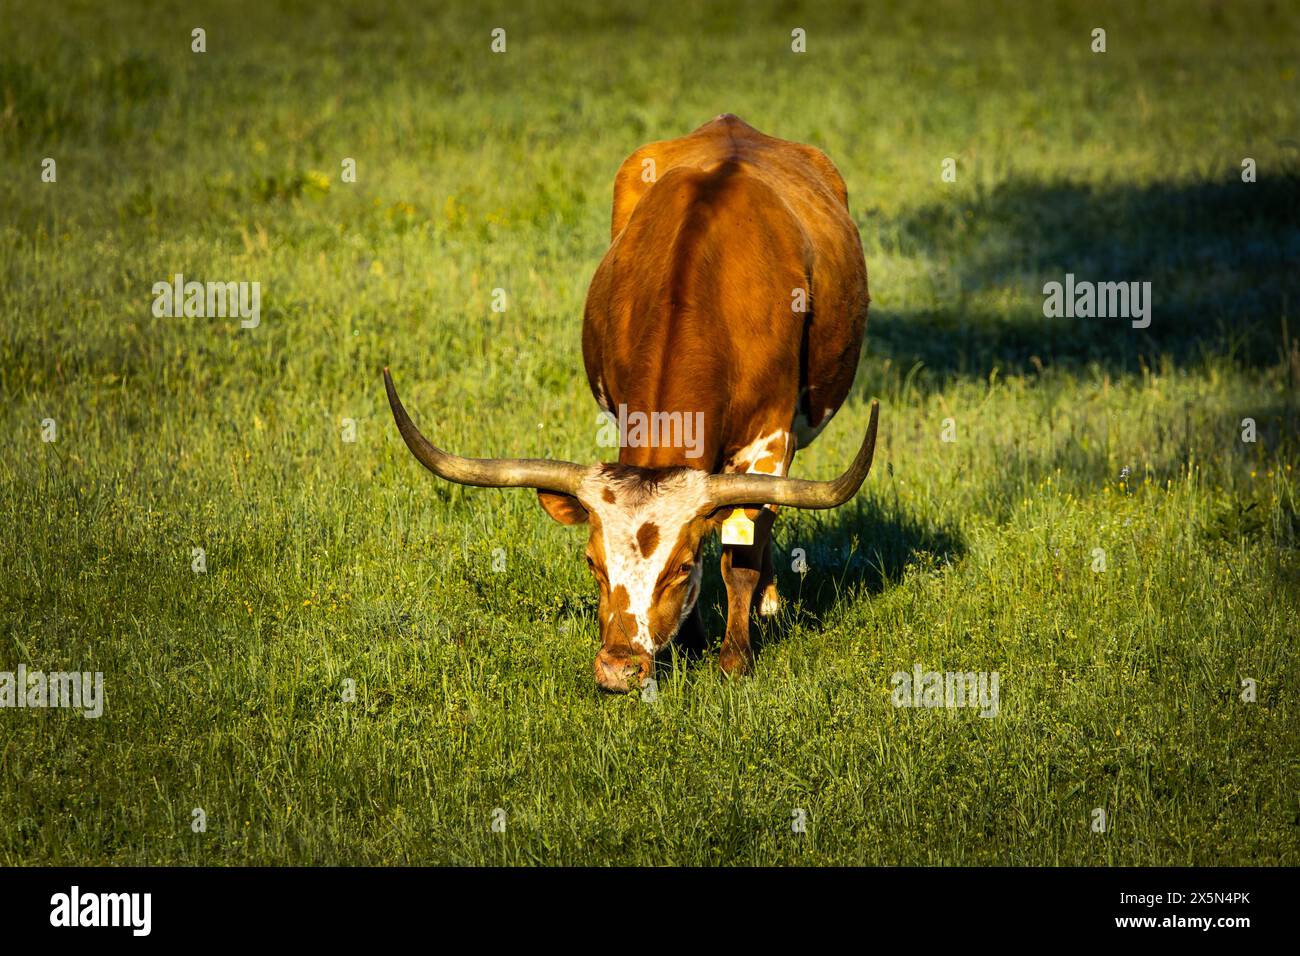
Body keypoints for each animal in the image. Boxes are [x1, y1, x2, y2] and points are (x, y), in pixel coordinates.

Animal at [385, 114, 877, 692]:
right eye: (591, 561)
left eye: (681, 567)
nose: (619, 668)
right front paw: (690, 644)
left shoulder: (770, 438)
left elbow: (742, 553)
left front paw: (735, 659)